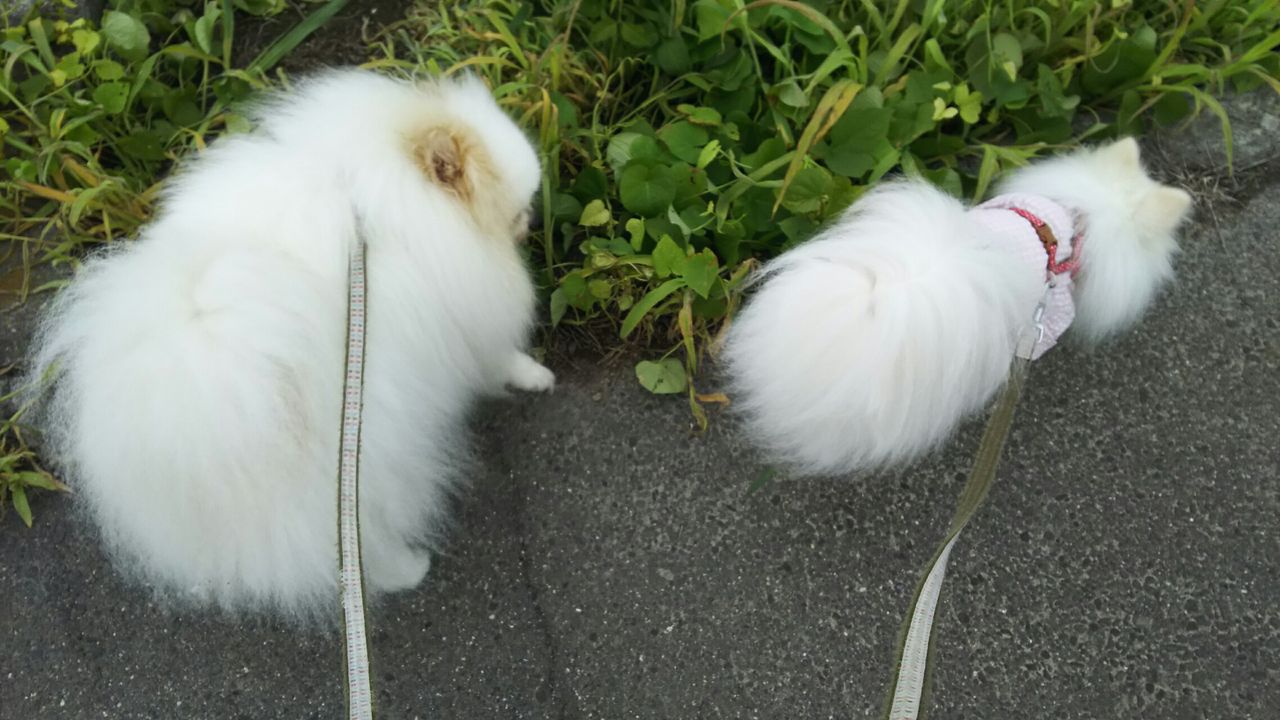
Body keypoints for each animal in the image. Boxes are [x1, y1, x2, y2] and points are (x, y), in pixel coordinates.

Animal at [29, 69, 555, 618]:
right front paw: (535, 375)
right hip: (360, 462)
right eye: (517, 210)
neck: (367, 194)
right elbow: (499, 356)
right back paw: (405, 571)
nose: (533, 219)